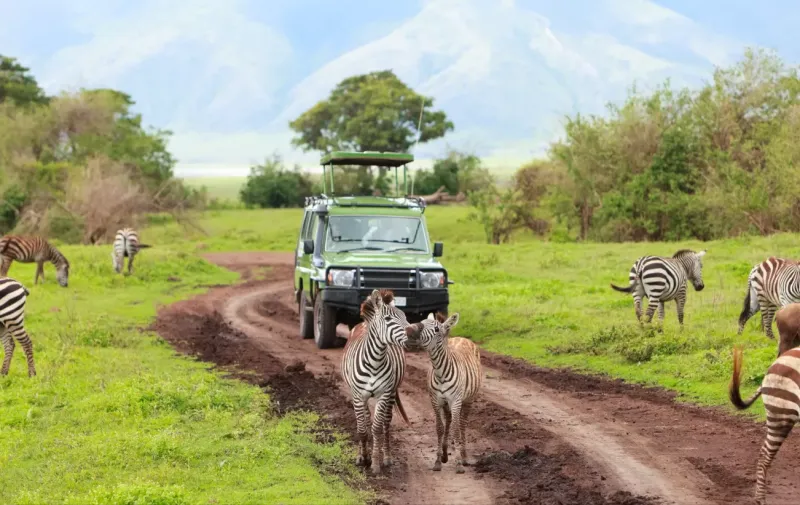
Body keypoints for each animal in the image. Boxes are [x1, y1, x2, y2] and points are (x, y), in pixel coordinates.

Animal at [341, 288, 411, 475]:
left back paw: (386, 457)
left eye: (404, 316)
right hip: (361, 396)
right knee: (365, 420)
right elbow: (362, 429)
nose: (414, 332)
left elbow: (377, 428)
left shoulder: (383, 394)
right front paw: (363, 458)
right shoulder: (357, 395)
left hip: (392, 393)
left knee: (386, 423)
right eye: (388, 319)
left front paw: (375, 463)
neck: (374, 361)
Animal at [407, 312, 481, 474]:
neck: (440, 372)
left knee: (462, 424)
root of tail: (462, 338)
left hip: (468, 399)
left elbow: (456, 429)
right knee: (448, 420)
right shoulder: (435, 400)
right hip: (447, 403)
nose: (410, 330)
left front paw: (459, 464)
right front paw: (438, 461)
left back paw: (464, 457)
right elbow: (440, 428)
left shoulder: (456, 401)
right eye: (422, 322)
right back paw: (446, 453)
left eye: (436, 329)